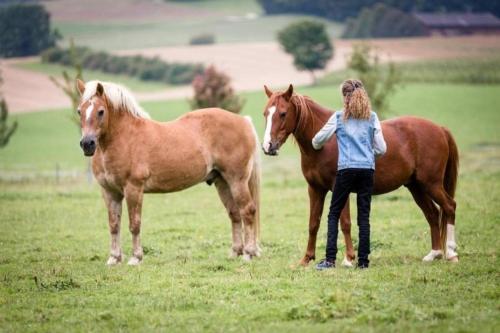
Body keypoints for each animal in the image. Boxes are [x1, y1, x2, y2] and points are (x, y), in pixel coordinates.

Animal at [76, 79, 262, 264]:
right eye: (79, 111)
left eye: (101, 111)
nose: (87, 144)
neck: (124, 138)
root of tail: (244, 121)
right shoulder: (110, 192)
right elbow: (114, 225)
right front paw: (114, 259)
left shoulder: (133, 189)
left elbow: (134, 224)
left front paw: (136, 258)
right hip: (222, 182)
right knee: (235, 214)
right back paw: (235, 252)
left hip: (237, 181)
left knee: (248, 211)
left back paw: (248, 253)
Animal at [264, 84, 458, 266]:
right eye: (265, 113)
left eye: (282, 113)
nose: (268, 146)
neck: (325, 143)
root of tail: (440, 129)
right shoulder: (315, 189)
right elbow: (313, 223)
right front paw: (306, 259)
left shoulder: (339, 188)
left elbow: (345, 223)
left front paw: (349, 259)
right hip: (416, 186)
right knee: (432, 214)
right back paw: (434, 254)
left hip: (432, 184)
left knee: (449, 207)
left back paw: (451, 253)